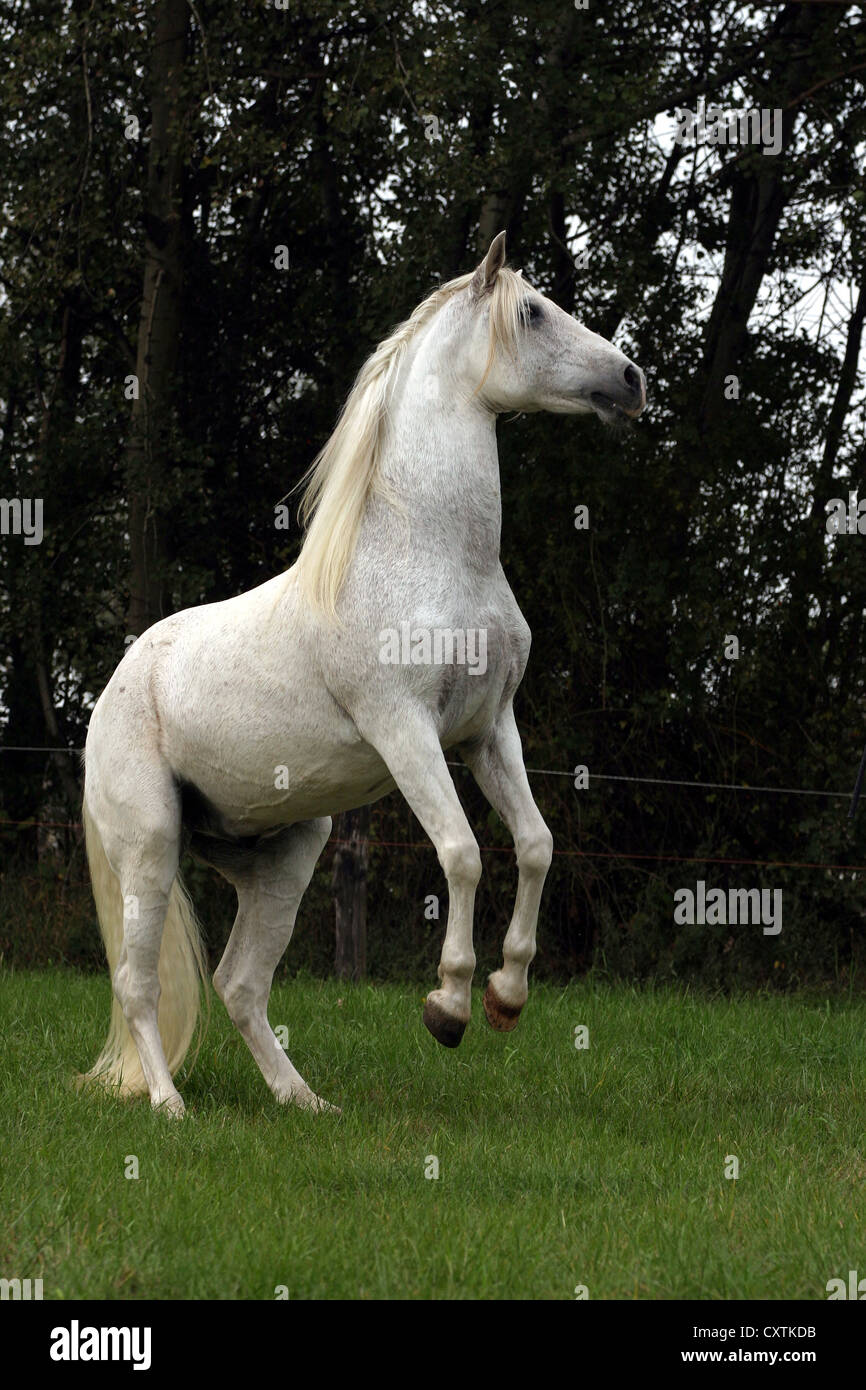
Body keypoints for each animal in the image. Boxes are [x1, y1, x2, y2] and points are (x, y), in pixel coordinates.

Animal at [80, 231, 646, 1116]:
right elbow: (462, 853)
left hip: (282, 856)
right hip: (151, 848)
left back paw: (304, 1103)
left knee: (240, 984)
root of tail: (108, 696)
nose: (630, 381)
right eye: (531, 312)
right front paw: (449, 1007)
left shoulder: (489, 732)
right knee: (139, 985)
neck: (435, 557)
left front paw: (507, 997)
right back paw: (171, 1108)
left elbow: (535, 845)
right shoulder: (405, 729)